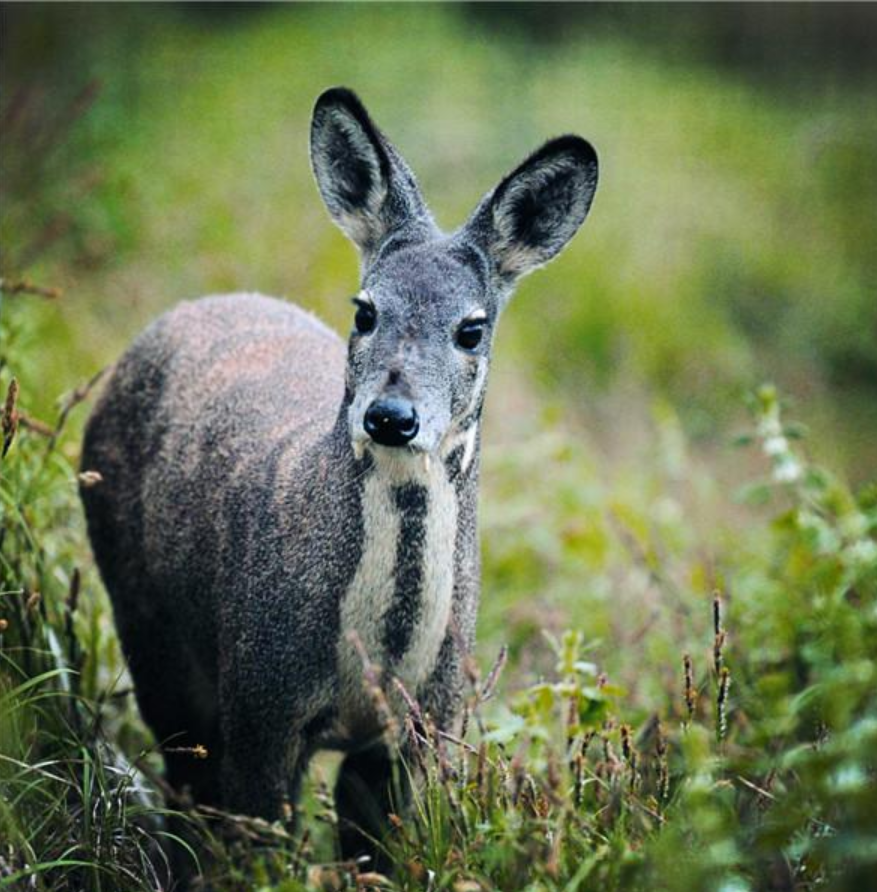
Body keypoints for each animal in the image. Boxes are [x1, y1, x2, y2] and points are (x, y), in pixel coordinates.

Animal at [80, 87, 596, 868]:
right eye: (365, 309)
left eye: (471, 329)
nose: (390, 416)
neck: (376, 661)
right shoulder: (260, 700)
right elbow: (256, 846)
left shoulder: (426, 726)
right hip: (144, 618)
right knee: (182, 772)